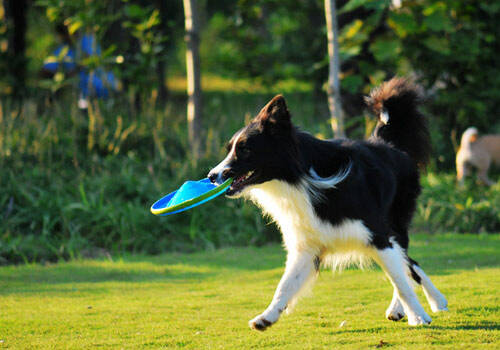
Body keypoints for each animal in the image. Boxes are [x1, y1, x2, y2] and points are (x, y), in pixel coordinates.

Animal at [207, 78, 450, 330]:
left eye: (245, 150)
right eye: (230, 149)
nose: (211, 176)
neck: (299, 179)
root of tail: (388, 144)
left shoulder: (376, 235)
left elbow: (400, 280)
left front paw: (418, 317)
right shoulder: (307, 246)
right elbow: (285, 285)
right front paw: (267, 317)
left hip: (395, 224)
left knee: (408, 264)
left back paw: (431, 301)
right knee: (407, 263)